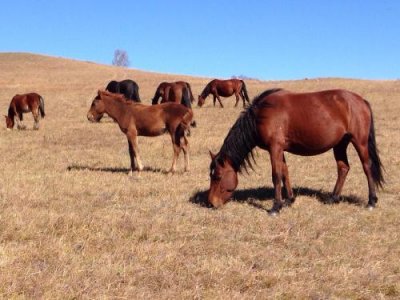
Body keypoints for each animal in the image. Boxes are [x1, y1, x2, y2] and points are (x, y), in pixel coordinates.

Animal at [206, 88, 384, 214]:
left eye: (217, 176)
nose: (211, 203)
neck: (261, 114)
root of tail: (361, 100)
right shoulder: (280, 150)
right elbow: (285, 173)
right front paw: (289, 200)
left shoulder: (275, 148)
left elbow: (276, 175)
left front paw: (276, 207)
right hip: (340, 144)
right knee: (343, 168)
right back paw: (333, 198)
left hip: (359, 142)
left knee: (367, 167)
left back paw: (371, 201)